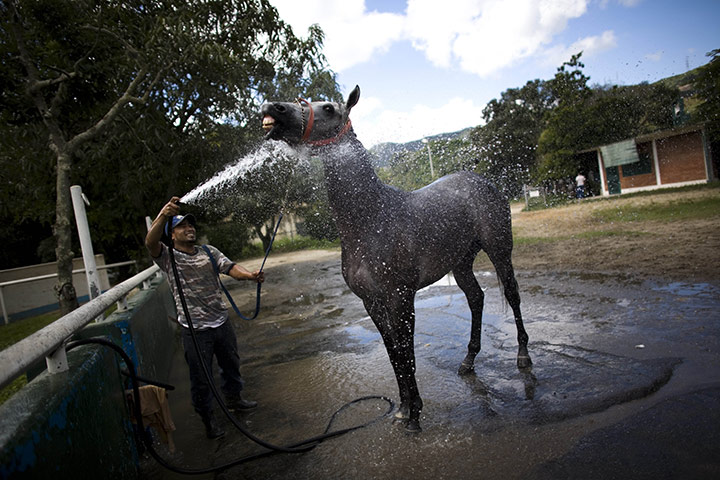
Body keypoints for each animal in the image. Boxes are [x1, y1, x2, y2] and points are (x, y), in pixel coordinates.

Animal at [261, 86, 531, 432]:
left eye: (329, 108)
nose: (273, 108)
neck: (372, 220)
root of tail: (481, 180)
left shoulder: (400, 298)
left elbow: (406, 352)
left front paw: (414, 414)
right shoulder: (372, 303)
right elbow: (393, 354)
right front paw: (403, 408)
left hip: (499, 252)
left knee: (512, 295)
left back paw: (523, 356)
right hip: (460, 263)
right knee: (476, 298)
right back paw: (468, 361)